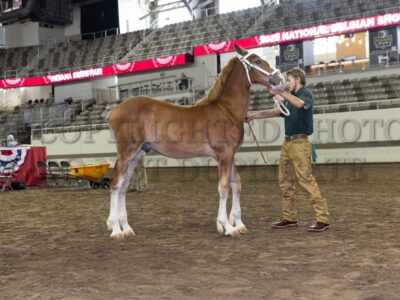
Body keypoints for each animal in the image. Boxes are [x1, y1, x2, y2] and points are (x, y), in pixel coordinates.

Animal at [103, 42, 284, 239]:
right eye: (258, 61)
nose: (280, 78)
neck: (226, 110)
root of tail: (115, 110)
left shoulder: (230, 155)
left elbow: (236, 184)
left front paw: (238, 224)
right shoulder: (224, 154)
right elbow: (224, 187)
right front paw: (228, 227)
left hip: (136, 154)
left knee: (123, 186)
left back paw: (126, 228)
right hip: (126, 152)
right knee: (115, 183)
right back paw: (115, 230)